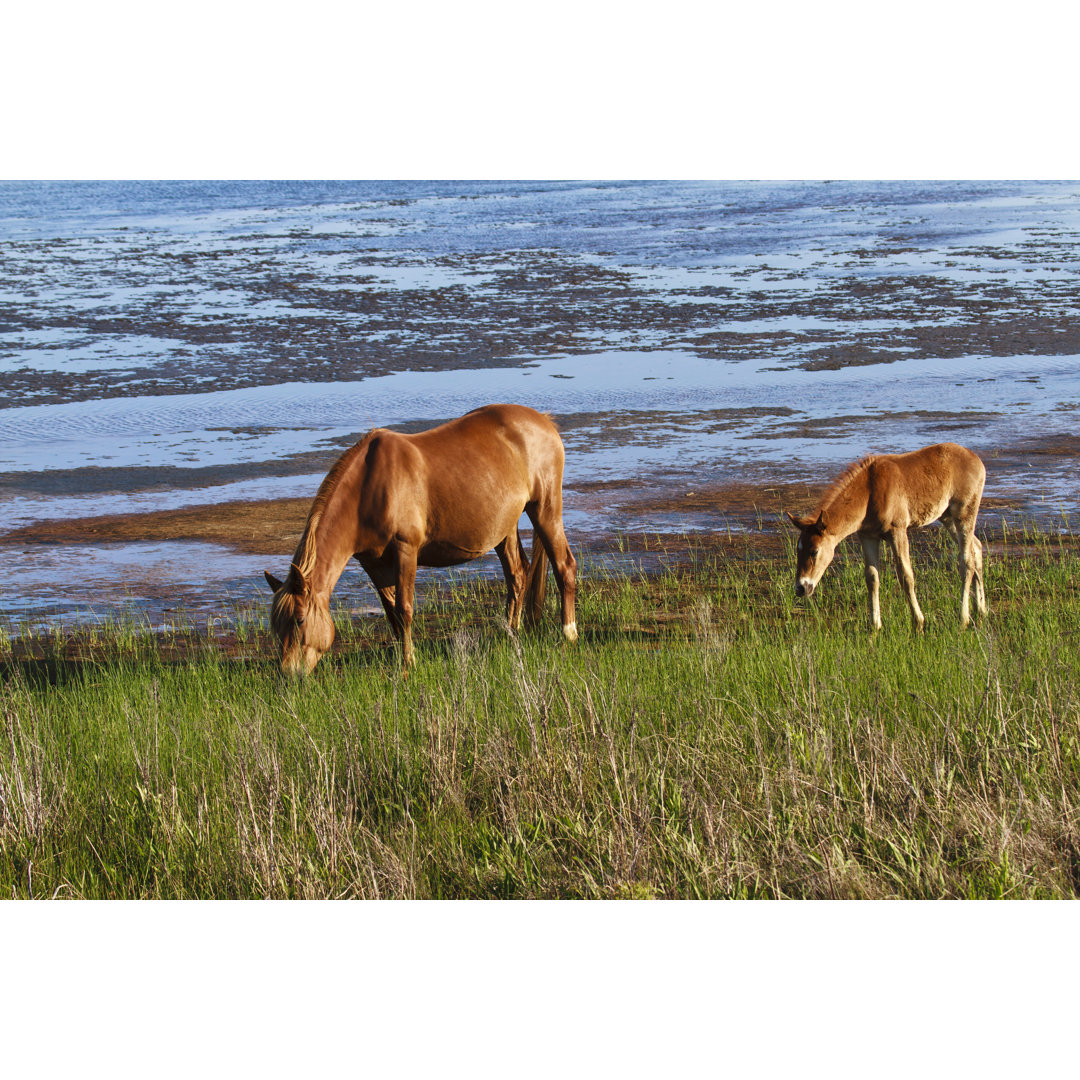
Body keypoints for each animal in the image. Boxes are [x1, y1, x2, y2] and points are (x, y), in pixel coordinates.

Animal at [264, 406, 578, 673]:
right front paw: (403, 659)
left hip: (544, 509)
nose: (288, 675)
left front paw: (408, 665)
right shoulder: (374, 565)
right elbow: (391, 613)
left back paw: (569, 633)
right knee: (517, 574)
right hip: (505, 527)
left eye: (299, 619)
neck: (368, 489)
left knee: (564, 566)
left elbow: (404, 609)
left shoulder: (406, 550)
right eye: (276, 626)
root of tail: (544, 421)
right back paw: (511, 633)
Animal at [786, 442, 989, 630]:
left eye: (814, 551)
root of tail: (975, 458)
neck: (869, 491)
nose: (800, 588)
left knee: (966, 561)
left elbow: (905, 575)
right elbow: (872, 578)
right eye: (798, 550)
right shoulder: (867, 536)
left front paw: (918, 621)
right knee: (977, 548)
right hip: (946, 517)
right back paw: (981, 610)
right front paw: (875, 625)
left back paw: (963, 618)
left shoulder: (897, 531)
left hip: (964, 514)